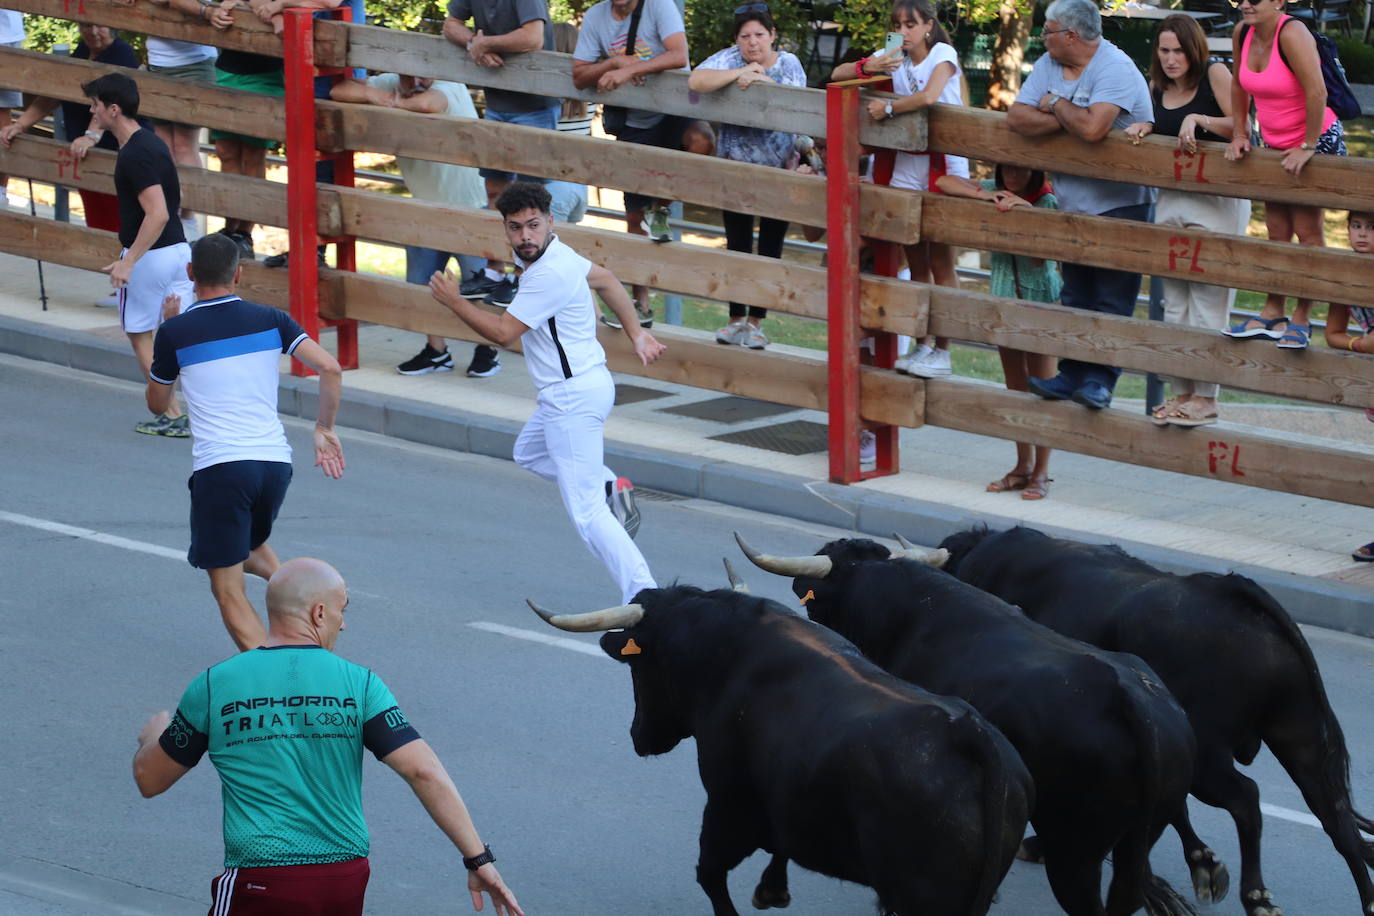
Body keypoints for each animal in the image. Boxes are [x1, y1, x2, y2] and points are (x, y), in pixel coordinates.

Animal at [527, 587, 1033, 916]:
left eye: (638, 668)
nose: (638, 737)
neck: (727, 655)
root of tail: (966, 734)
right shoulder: (782, 803)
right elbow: (777, 845)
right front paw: (772, 890)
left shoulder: (727, 806)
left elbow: (709, 874)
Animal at [939, 527, 1374, 916]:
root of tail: (1229, 591)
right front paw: (1201, 863)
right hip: (1300, 736)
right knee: (1334, 816)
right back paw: (1365, 899)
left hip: (1211, 758)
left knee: (1247, 798)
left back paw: (1256, 897)